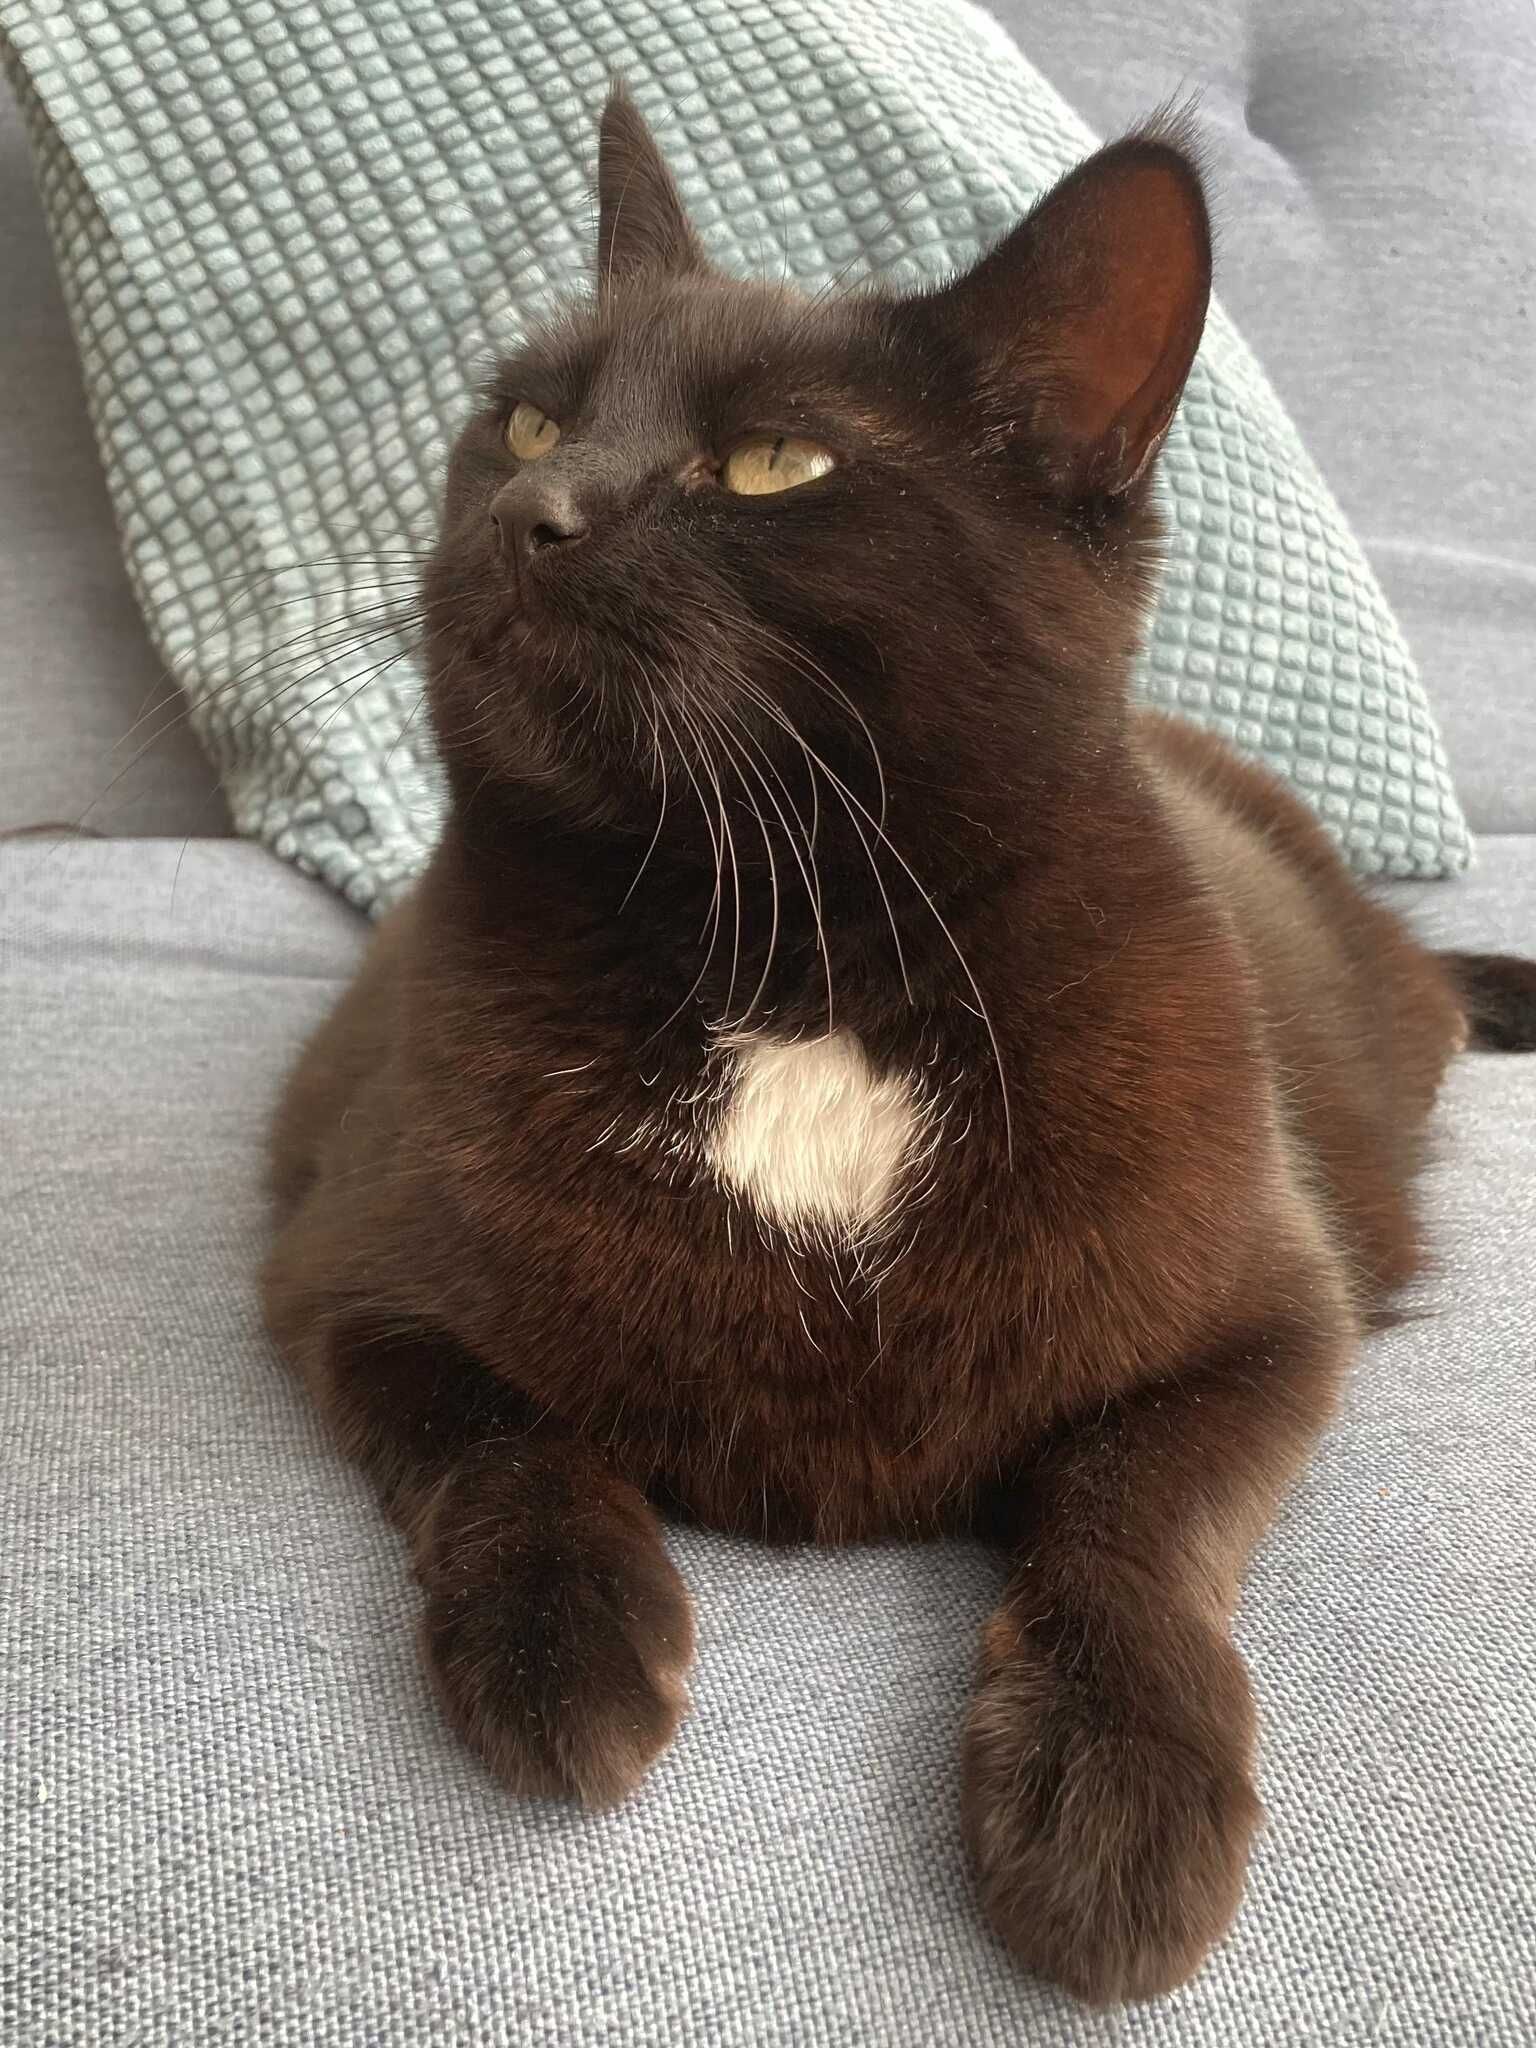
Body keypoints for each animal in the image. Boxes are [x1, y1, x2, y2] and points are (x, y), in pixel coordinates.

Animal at [264, 92, 1536, 1998]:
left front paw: (1116, 1787)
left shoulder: (1267, 1319)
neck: (791, 961)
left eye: (775, 466)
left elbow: (1136, 1516)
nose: (534, 508)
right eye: (530, 417)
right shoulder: (345, 1268)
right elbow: (493, 1434)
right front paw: (567, 1651)